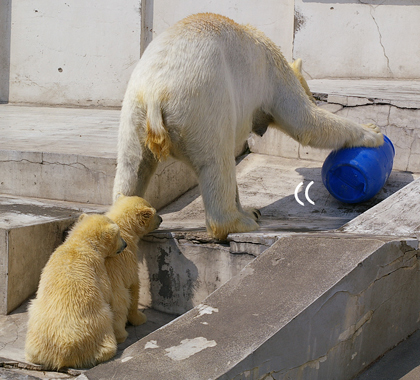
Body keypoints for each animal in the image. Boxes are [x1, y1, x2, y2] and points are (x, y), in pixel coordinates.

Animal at [112, 14, 384, 240]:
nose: (315, 98)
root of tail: (156, 92)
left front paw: (251, 210)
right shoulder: (271, 73)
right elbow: (304, 122)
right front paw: (373, 131)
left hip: (133, 115)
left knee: (132, 167)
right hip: (202, 104)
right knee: (216, 162)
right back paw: (238, 224)